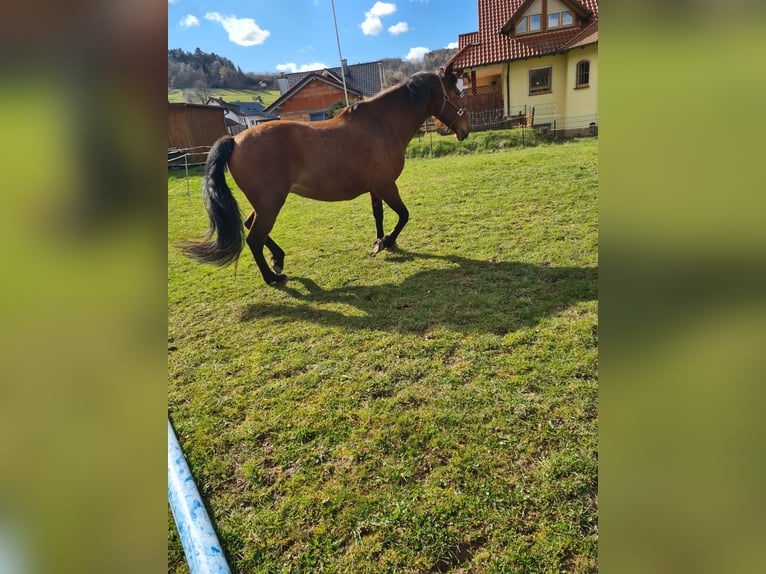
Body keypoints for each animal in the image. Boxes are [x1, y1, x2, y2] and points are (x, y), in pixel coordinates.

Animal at [180, 64, 470, 285]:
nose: (465, 129)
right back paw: (273, 278)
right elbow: (404, 215)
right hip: (271, 204)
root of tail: (235, 140)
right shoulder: (388, 185)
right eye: (457, 95)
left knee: (250, 225)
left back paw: (278, 259)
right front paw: (387, 241)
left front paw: (380, 241)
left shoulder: (376, 187)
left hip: (263, 204)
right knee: (254, 238)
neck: (382, 123)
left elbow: (378, 214)